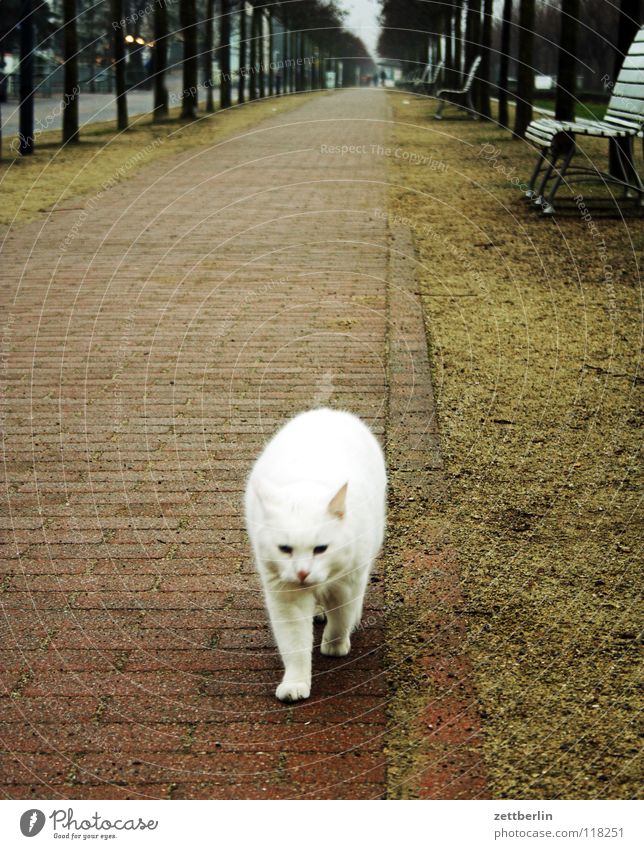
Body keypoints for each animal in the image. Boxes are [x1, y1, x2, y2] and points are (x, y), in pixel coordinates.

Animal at [245, 408, 388, 700]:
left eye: (321, 548)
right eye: (285, 549)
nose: (302, 572)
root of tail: (328, 412)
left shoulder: (346, 583)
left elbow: (340, 619)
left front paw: (335, 645)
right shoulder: (285, 597)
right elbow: (294, 644)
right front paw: (296, 683)